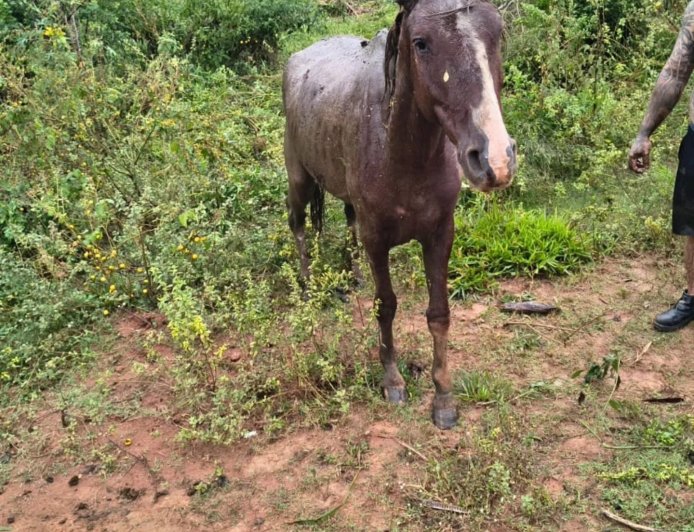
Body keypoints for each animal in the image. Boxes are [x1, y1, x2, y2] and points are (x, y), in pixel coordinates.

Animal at [282, 0, 516, 429]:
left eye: (496, 32)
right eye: (421, 43)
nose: (495, 159)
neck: (402, 153)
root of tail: (298, 58)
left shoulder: (440, 234)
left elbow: (439, 313)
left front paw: (443, 397)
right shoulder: (377, 240)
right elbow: (386, 306)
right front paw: (392, 380)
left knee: (346, 221)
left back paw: (353, 276)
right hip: (299, 179)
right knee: (299, 225)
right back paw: (306, 286)